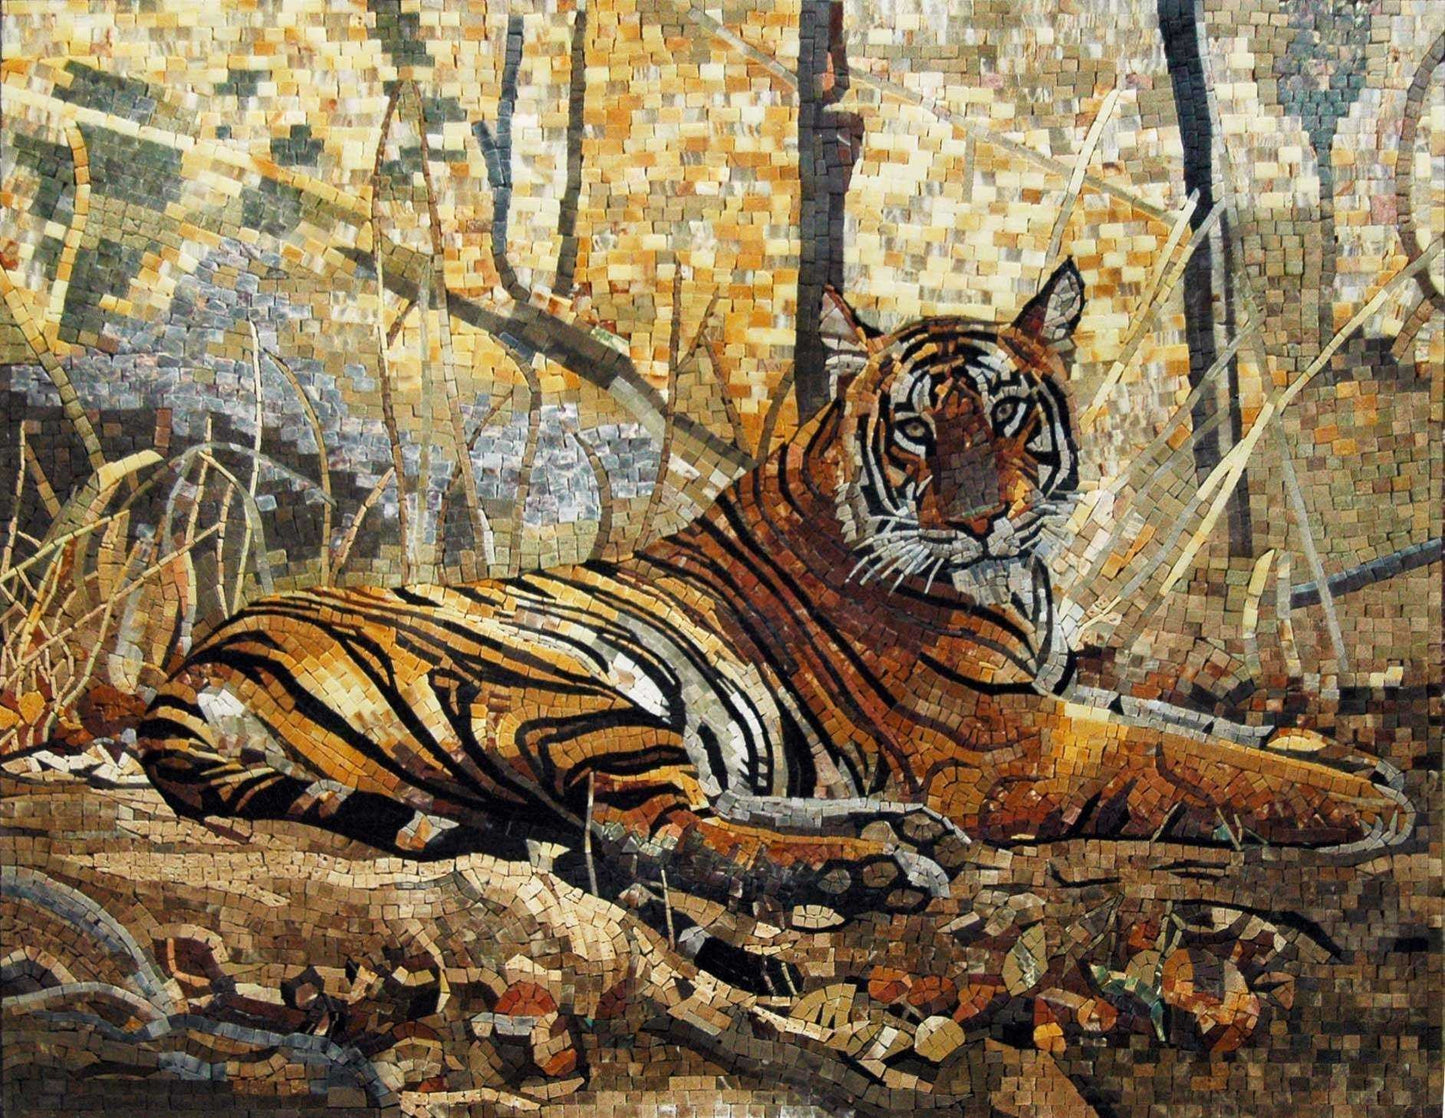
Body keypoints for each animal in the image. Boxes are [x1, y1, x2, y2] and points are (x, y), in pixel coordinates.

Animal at [136, 259, 1413, 993]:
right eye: (916, 430)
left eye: (1007, 414)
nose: (979, 517)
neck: (1019, 581)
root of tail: (201, 655)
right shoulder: (1014, 745)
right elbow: (1181, 754)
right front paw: (1363, 802)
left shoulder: (1044, 690)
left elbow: (1183, 714)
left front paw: (1350, 756)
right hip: (573, 683)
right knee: (646, 832)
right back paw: (869, 866)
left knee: (690, 807)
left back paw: (899, 830)